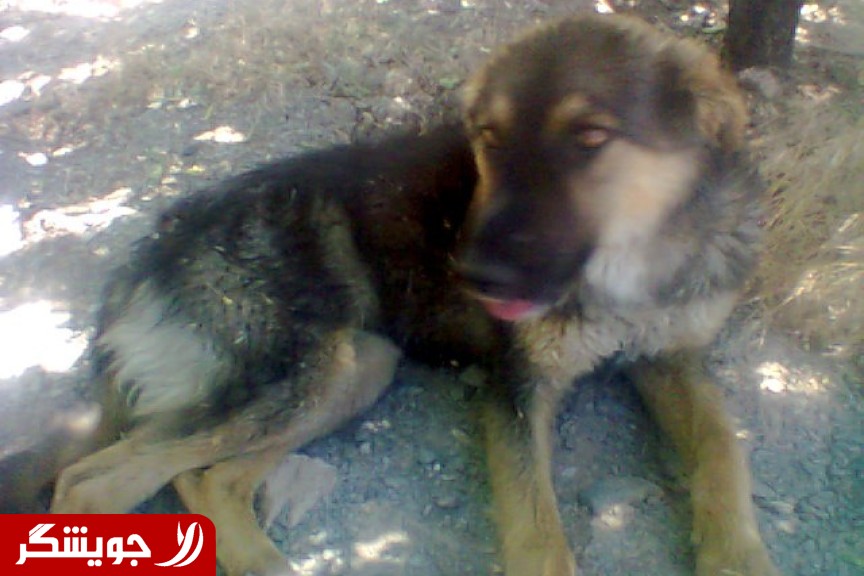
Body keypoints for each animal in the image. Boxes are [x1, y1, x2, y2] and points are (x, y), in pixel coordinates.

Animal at [44, 13, 780, 576]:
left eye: (591, 138)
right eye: (490, 138)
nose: (473, 273)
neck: (637, 262)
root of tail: (145, 258)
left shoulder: (673, 360)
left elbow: (726, 450)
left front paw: (738, 557)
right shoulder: (516, 387)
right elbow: (537, 528)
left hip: (356, 367)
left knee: (207, 476)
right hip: (292, 376)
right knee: (92, 483)